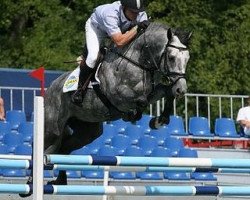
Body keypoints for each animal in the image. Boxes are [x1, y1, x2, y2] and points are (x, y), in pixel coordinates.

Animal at [44, 23, 191, 186]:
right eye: (171, 58)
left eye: (187, 59)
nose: (182, 90)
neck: (139, 63)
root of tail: (51, 88)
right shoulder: (117, 95)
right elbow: (141, 100)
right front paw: (134, 115)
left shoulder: (154, 91)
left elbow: (167, 91)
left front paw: (159, 120)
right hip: (52, 130)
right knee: (45, 149)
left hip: (87, 131)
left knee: (64, 149)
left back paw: (60, 181)